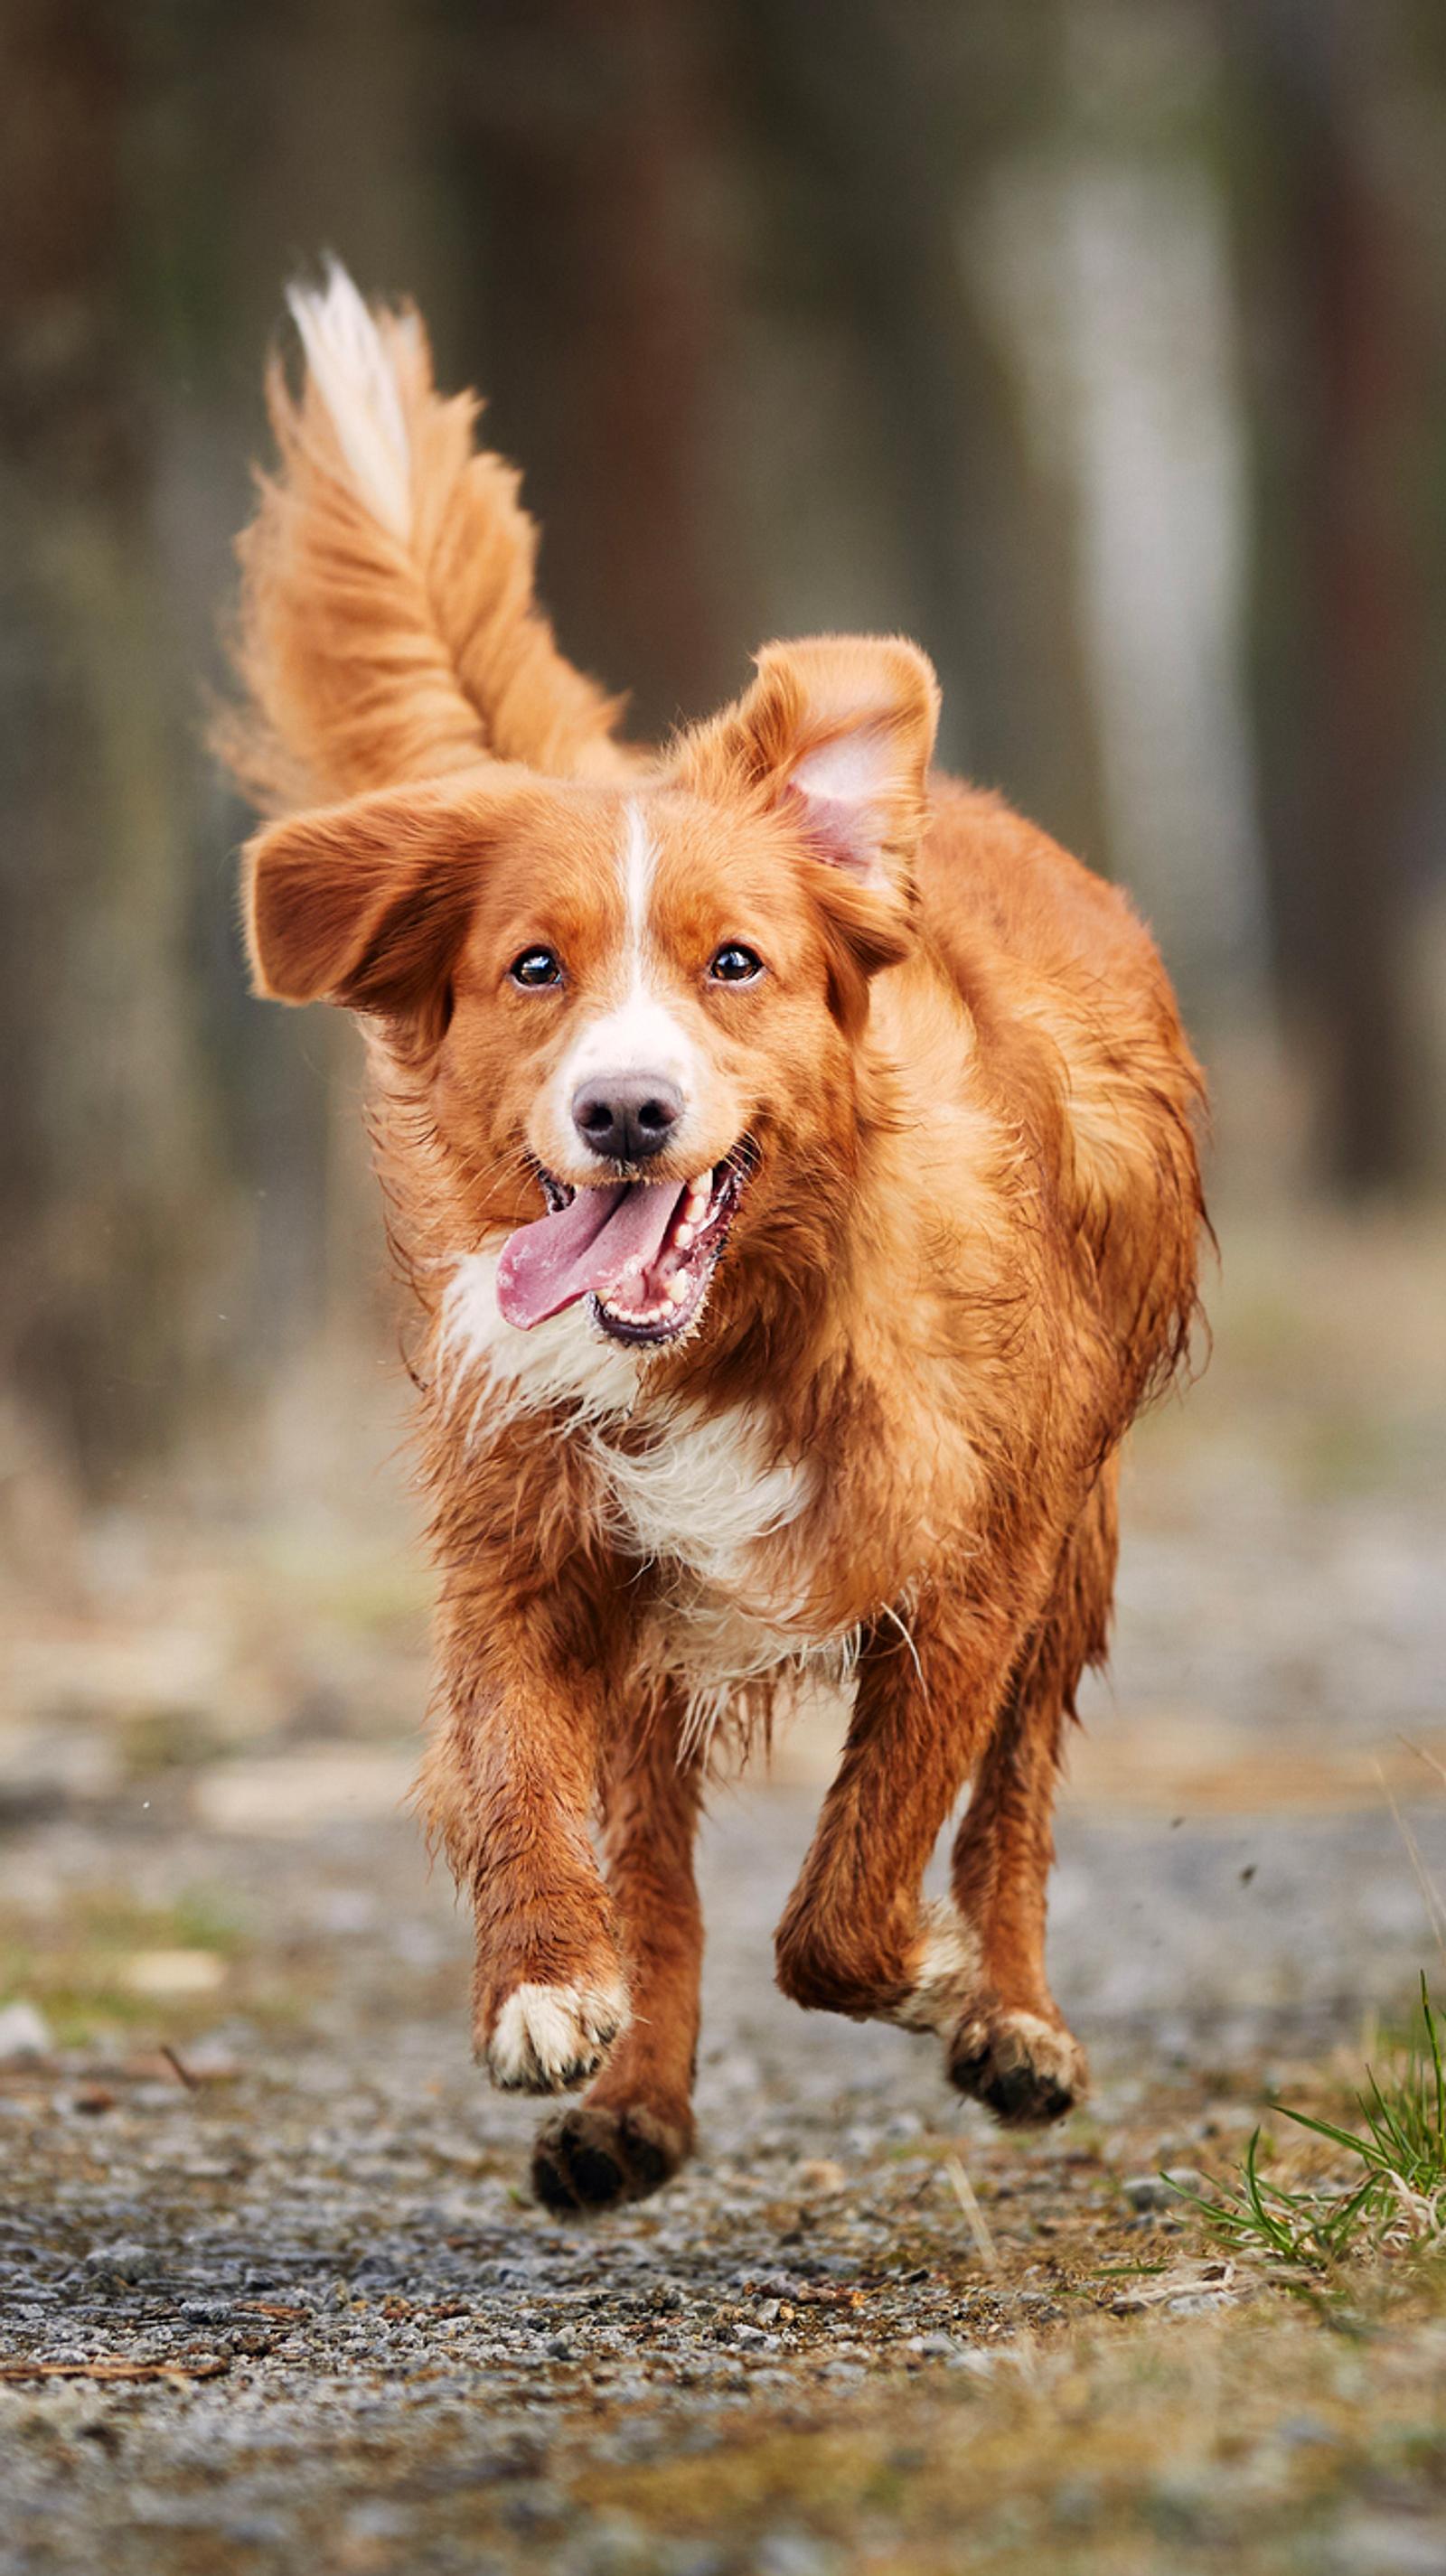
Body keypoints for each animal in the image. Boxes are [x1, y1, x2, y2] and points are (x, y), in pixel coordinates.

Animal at [216, 267, 1206, 2215]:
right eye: (534, 967)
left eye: (733, 963)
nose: (622, 1112)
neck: (741, 1331)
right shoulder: (530, 1542)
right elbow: (520, 1773)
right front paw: (544, 1980)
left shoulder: (972, 1564)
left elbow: (861, 1883)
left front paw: (926, 1974)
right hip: (658, 1638)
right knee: (660, 1863)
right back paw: (640, 2101)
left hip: (1081, 1535)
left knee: (1016, 1801)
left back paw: (1011, 2010)